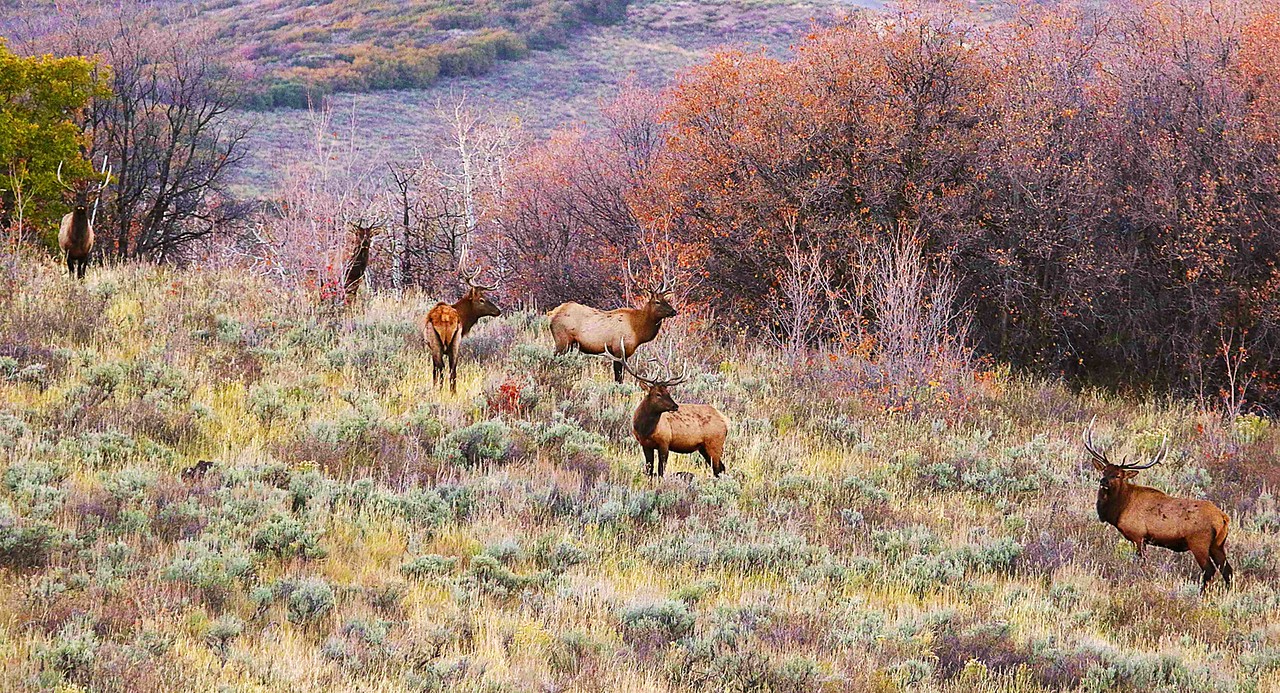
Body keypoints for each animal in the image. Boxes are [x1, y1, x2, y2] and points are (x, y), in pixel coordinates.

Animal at [421, 264, 502, 393]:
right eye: (482, 300)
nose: (498, 311)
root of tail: (445, 318)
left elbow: (435, 370)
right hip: (453, 342)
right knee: (451, 368)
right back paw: (451, 392)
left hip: (439, 343)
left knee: (443, 367)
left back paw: (442, 391)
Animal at [548, 271, 677, 383]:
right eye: (657, 302)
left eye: (665, 299)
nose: (674, 311)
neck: (638, 331)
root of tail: (553, 314)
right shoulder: (618, 350)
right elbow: (618, 378)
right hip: (562, 341)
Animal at [604, 342, 728, 478]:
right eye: (658, 394)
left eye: (668, 392)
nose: (675, 406)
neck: (645, 430)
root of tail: (726, 421)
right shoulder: (645, 444)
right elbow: (649, 469)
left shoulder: (665, 442)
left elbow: (660, 471)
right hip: (703, 448)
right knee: (721, 468)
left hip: (714, 444)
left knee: (718, 469)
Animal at [1083, 420, 1233, 594]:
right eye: (1104, 471)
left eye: (1118, 475)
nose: (1104, 481)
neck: (1120, 509)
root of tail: (1223, 518)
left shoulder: (1138, 536)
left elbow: (1142, 562)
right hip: (1218, 545)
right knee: (1227, 570)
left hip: (1199, 542)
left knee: (1209, 570)